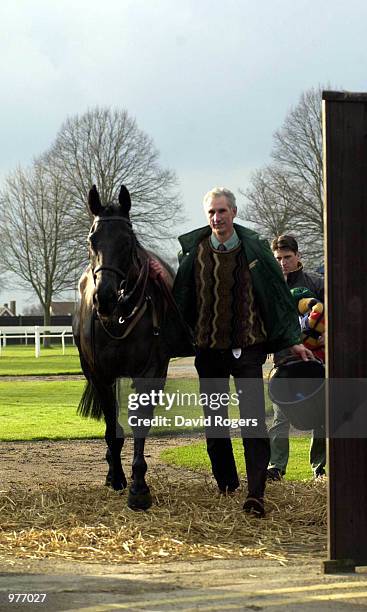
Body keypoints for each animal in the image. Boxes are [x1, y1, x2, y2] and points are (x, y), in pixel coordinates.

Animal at [74, 185, 190, 512]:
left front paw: (139, 487)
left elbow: (140, 423)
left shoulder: (151, 372)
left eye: (127, 241)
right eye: (92, 239)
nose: (105, 297)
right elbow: (112, 429)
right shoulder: (100, 375)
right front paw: (117, 477)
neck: (120, 317)